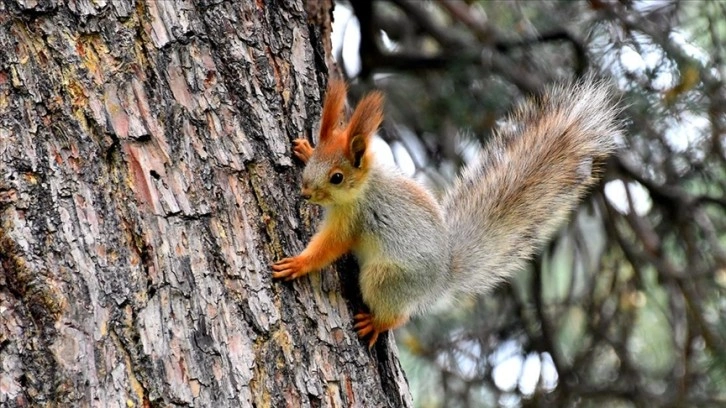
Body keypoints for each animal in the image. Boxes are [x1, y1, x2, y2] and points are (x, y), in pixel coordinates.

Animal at [272, 77, 620, 348]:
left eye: (337, 177)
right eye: (318, 156)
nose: (305, 193)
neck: (365, 186)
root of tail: (441, 278)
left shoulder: (354, 218)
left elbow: (329, 247)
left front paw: (299, 264)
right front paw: (302, 149)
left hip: (385, 278)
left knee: (399, 314)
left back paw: (378, 323)